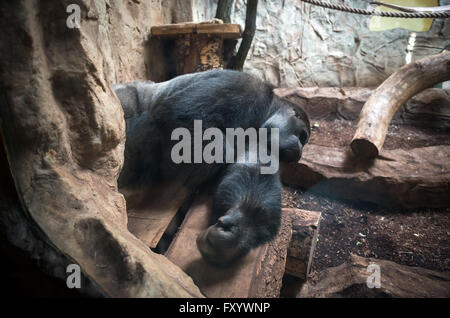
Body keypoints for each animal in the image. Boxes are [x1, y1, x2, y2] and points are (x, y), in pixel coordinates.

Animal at [112, 69, 310, 266]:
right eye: (302, 136)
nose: (300, 152)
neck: (265, 112)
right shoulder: (247, 88)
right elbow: (180, 115)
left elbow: (251, 173)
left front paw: (240, 232)